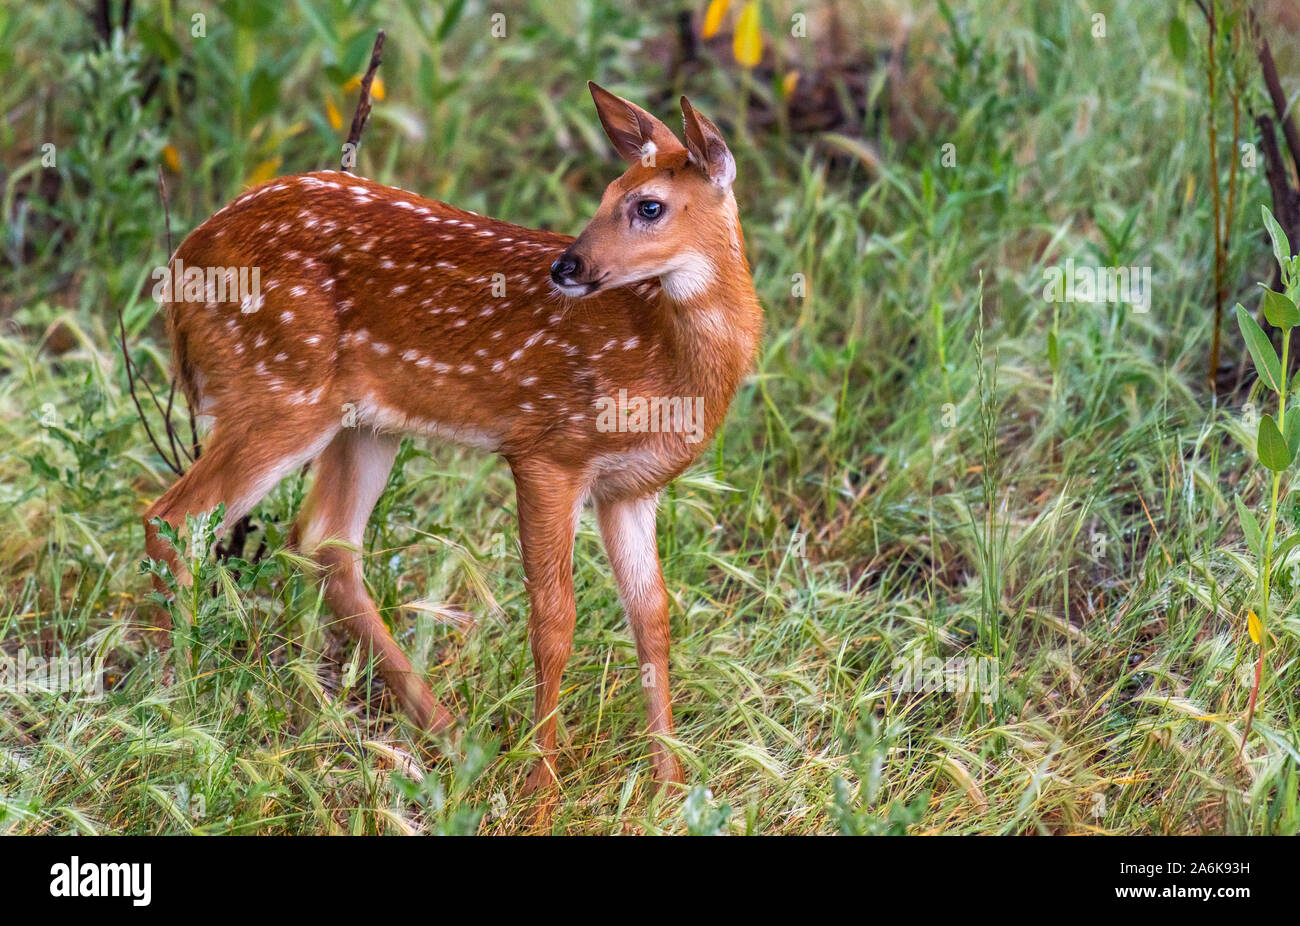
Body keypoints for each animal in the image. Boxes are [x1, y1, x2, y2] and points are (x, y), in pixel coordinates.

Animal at [142, 82, 762, 817]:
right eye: (607, 192)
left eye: (648, 205)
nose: (567, 265)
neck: (668, 365)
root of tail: (180, 267)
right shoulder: (547, 450)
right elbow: (554, 621)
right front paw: (542, 792)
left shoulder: (632, 488)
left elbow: (653, 619)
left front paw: (669, 791)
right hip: (278, 390)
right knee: (173, 518)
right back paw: (182, 710)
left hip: (363, 423)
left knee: (324, 543)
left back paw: (449, 738)